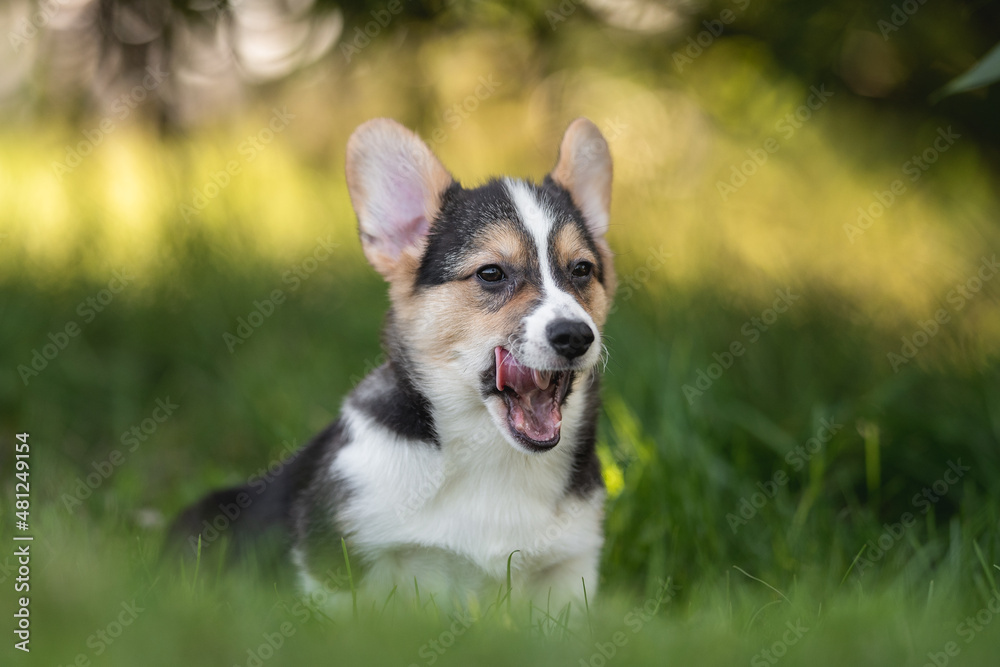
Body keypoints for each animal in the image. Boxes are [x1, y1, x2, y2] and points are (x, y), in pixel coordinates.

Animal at [168, 116, 612, 616]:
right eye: (491, 274)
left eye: (581, 270)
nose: (575, 336)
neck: (492, 454)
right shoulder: (335, 559)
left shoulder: (569, 572)